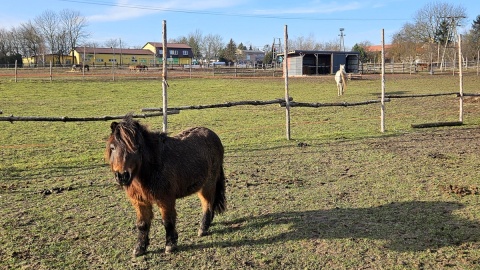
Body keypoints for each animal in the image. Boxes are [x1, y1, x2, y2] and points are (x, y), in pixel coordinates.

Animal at [105, 115, 225, 256]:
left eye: (137, 147)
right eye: (113, 147)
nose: (122, 176)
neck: (152, 168)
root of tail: (212, 134)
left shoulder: (166, 199)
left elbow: (167, 222)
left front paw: (170, 245)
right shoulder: (140, 201)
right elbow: (142, 224)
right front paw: (140, 248)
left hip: (208, 184)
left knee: (208, 204)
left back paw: (203, 228)